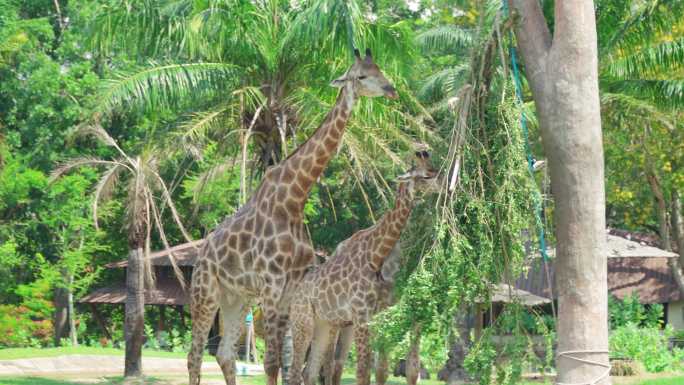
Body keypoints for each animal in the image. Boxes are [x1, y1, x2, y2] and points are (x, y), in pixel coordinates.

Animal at [190, 47, 398, 384]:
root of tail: (201, 254)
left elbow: (291, 365)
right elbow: (273, 362)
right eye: (361, 75)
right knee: (194, 355)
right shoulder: (273, 284)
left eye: (380, 68)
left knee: (224, 354)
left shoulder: (291, 288)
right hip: (206, 292)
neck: (294, 198)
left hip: (237, 297)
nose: (391, 89)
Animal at [286, 151, 436, 385]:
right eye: (425, 176)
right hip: (305, 322)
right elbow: (365, 371)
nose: (444, 187)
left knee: (312, 371)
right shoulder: (365, 315)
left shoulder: (393, 315)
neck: (377, 255)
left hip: (327, 323)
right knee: (304, 370)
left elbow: (395, 369)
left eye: (435, 170)